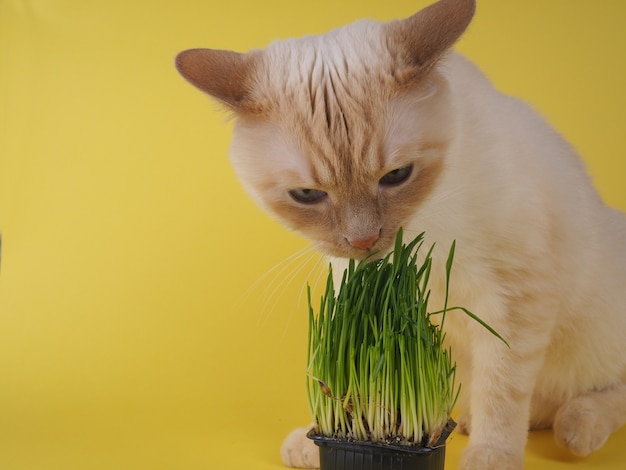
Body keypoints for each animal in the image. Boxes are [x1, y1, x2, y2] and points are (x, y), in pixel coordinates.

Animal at [174, 0, 624, 470]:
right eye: (307, 195)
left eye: (397, 176)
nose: (363, 240)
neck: (426, 227)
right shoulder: (351, 279)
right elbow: (340, 376)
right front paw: (312, 445)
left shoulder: (515, 296)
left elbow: (502, 391)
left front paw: (490, 456)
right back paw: (473, 418)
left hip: (592, 335)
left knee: (596, 393)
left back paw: (574, 429)